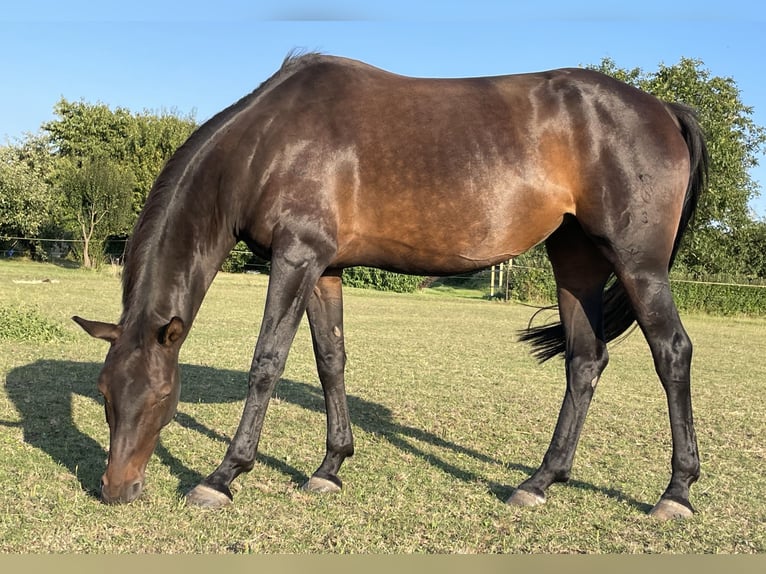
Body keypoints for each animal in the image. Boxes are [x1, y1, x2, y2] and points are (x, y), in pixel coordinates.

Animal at [72, 54, 708, 520]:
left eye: (161, 397)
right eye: (104, 394)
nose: (116, 490)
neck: (265, 143)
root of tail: (662, 108)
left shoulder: (295, 258)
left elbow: (267, 362)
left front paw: (224, 475)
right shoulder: (323, 267)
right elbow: (330, 359)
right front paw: (330, 467)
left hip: (637, 263)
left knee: (671, 352)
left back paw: (675, 492)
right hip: (575, 258)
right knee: (584, 360)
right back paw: (540, 481)